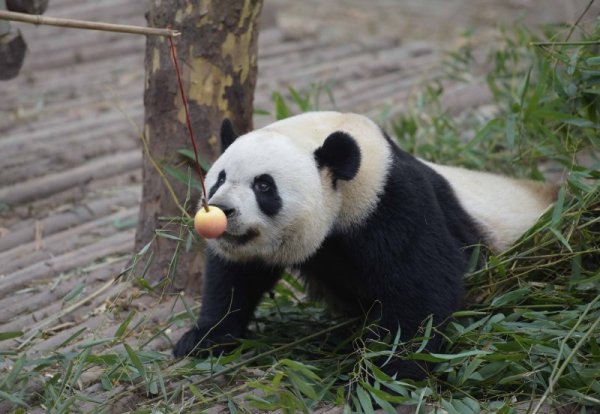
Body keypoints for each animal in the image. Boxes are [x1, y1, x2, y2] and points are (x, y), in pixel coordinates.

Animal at [173, 110, 556, 378]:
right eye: (219, 178)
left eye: (264, 186)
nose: (222, 211)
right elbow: (236, 277)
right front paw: (204, 338)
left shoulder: (390, 199)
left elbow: (422, 281)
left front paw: (393, 367)